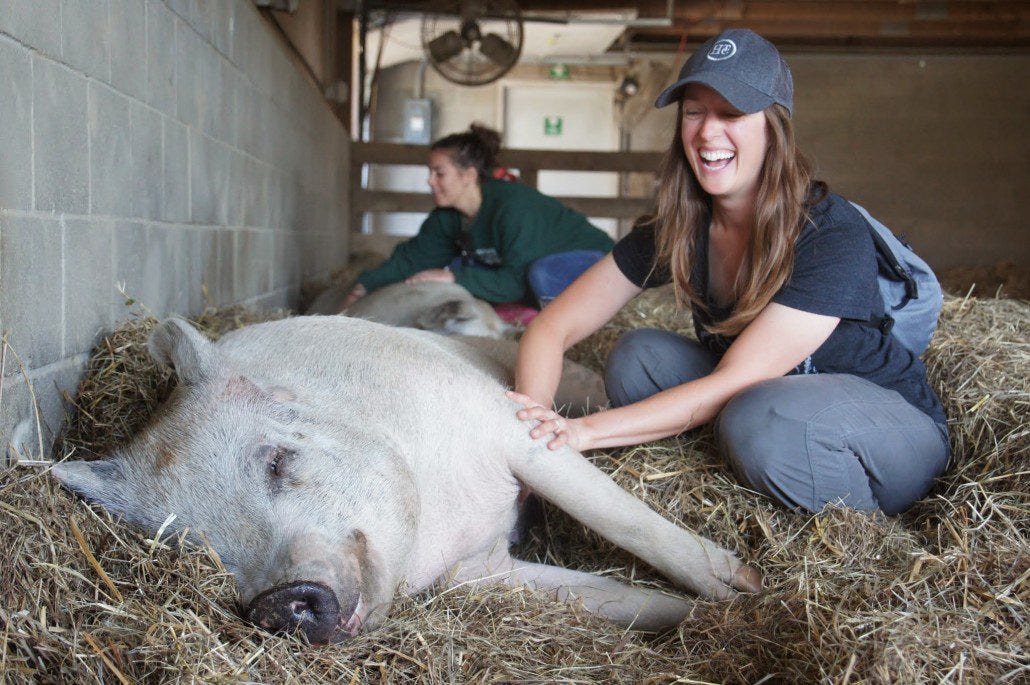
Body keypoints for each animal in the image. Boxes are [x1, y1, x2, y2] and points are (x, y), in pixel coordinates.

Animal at [52, 315, 762, 642]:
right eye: (194, 549)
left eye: (278, 462)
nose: (279, 601)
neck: (438, 531)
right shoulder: (481, 573)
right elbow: (609, 600)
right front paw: (717, 618)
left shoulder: (505, 423)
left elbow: (616, 515)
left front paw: (747, 589)